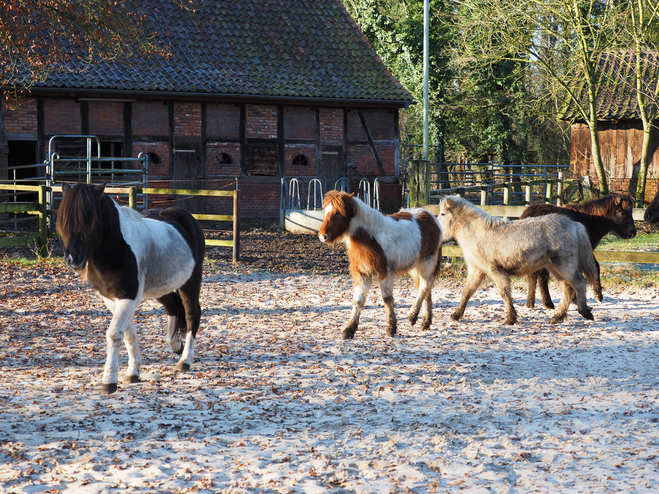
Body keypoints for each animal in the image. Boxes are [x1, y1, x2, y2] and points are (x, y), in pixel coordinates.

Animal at [58, 183, 205, 396]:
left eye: (89, 219)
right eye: (64, 221)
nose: (72, 258)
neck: (117, 249)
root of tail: (186, 218)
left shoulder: (128, 297)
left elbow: (114, 334)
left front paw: (109, 382)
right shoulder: (111, 299)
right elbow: (127, 333)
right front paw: (133, 372)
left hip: (190, 282)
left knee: (192, 314)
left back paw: (185, 360)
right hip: (161, 288)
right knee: (172, 307)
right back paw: (175, 344)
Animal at [320, 190, 444, 340]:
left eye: (338, 212)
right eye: (325, 210)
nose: (323, 236)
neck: (369, 236)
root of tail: (432, 218)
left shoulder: (384, 272)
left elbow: (387, 299)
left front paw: (391, 328)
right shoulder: (361, 273)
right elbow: (358, 301)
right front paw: (349, 330)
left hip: (427, 263)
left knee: (425, 286)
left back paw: (412, 316)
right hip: (415, 267)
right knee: (426, 289)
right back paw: (425, 322)